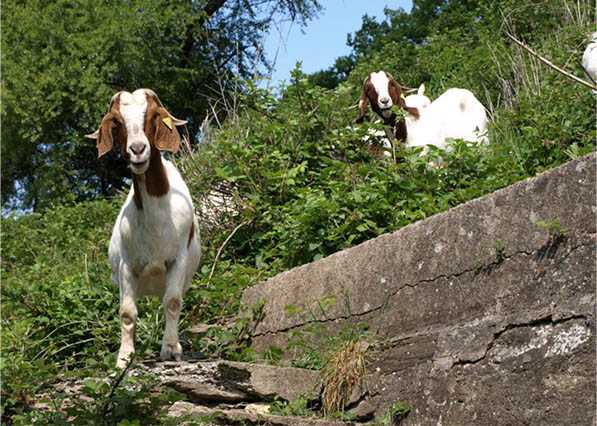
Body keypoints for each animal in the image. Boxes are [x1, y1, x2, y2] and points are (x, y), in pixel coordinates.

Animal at [86, 88, 201, 368]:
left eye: (153, 115)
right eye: (117, 121)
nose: (138, 149)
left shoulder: (177, 259)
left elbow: (172, 302)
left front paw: (170, 350)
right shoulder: (128, 265)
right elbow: (127, 313)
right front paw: (124, 358)